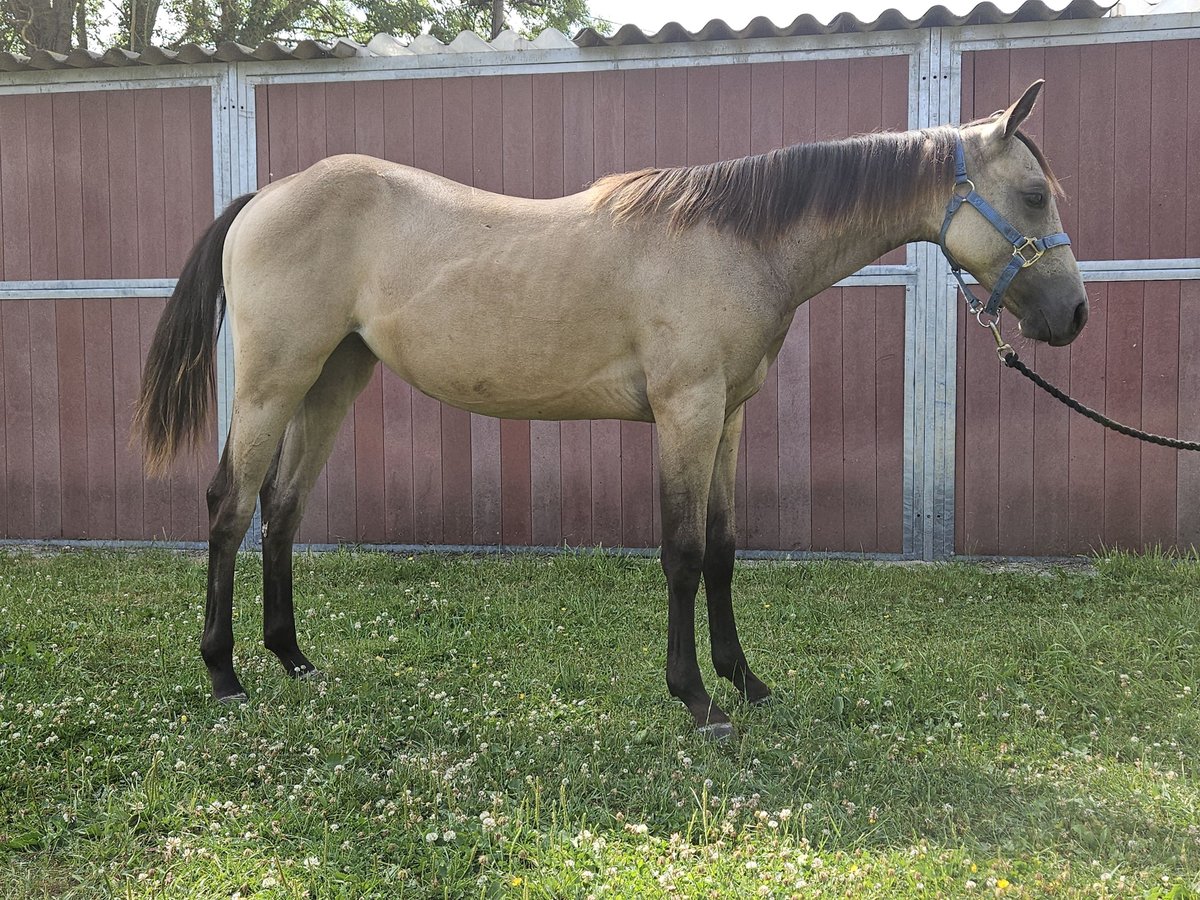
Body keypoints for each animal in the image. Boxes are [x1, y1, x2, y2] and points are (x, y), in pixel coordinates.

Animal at [136, 80, 1087, 739]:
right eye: (1034, 195)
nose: (1072, 317)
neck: (735, 242)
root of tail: (265, 196)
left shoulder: (727, 418)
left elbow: (724, 552)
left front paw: (748, 682)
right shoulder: (686, 412)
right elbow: (683, 553)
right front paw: (698, 699)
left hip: (333, 379)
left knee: (283, 508)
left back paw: (294, 660)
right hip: (272, 381)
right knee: (229, 507)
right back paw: (224, 675)